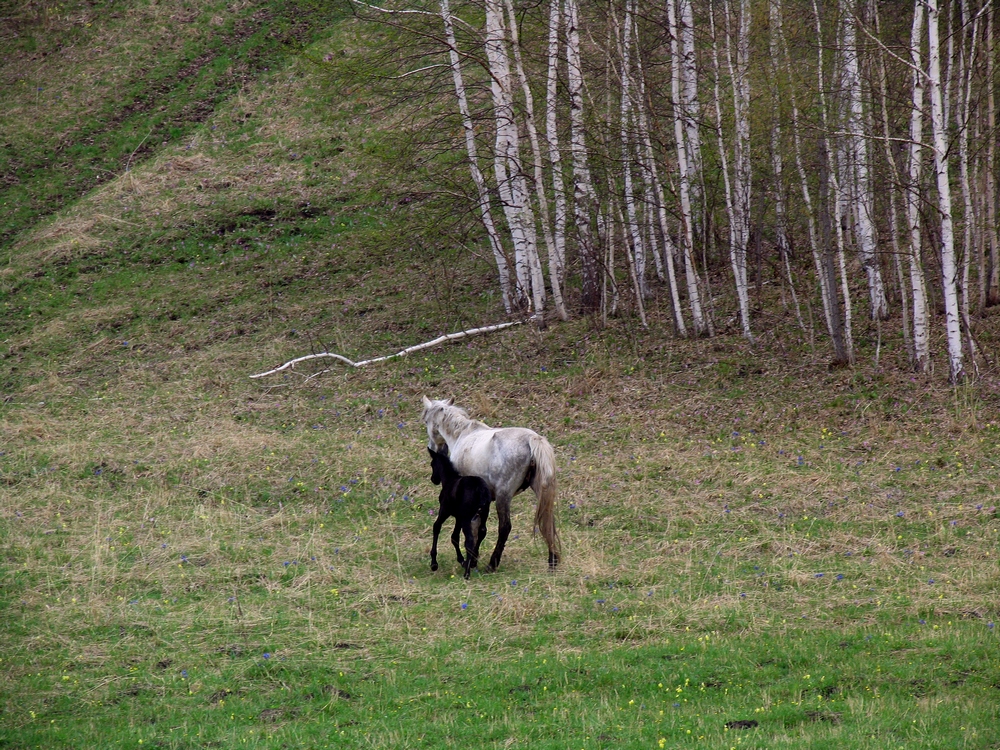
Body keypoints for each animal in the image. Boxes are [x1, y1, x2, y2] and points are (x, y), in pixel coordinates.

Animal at [428, 450, 494, 580]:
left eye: (432, 464)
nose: (434, 479)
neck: (449, 480)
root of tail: (480, 490)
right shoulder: (458, 517)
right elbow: (454, 537)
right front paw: (462, 560)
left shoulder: (445, 510)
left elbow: (436, 526)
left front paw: (434, 563)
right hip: (483, 514)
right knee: (482, 532)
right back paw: (472, 561)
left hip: (466, 517)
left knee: (470, 540)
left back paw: (467, 573)